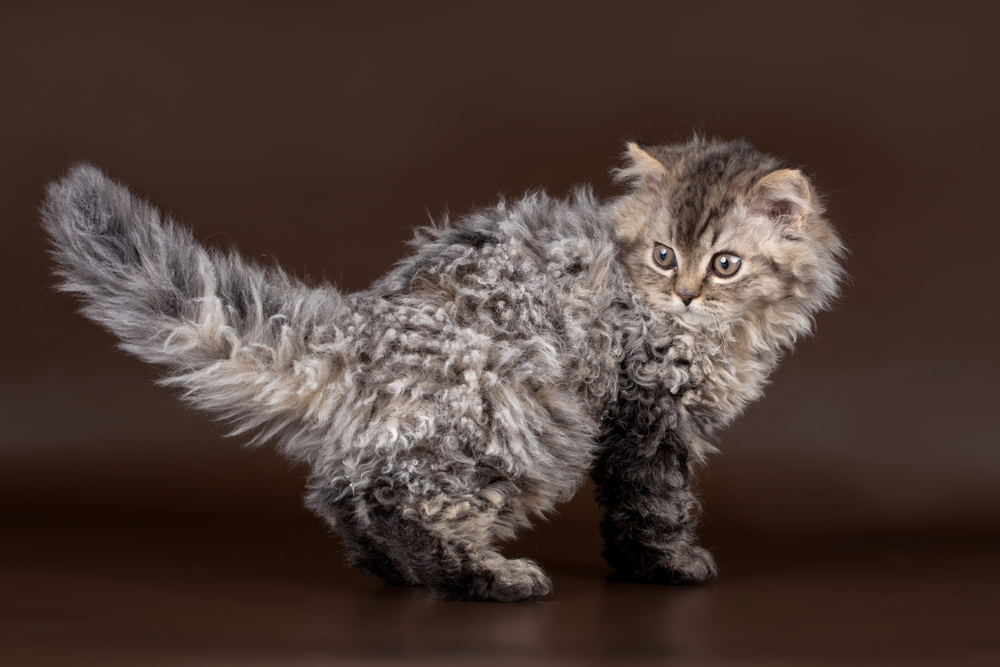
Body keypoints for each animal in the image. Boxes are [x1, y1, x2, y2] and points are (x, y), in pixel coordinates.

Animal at [43, 136, 848, 600]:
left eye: (724, 264)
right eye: (662, 255)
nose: (684, 294)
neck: (714, 335)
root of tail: (361, 334)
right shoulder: (645, 417)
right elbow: (656, 504)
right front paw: (668, 566)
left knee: (346, 492)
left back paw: (394, 572)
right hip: (521, 420)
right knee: (405, 499)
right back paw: (486, 576)